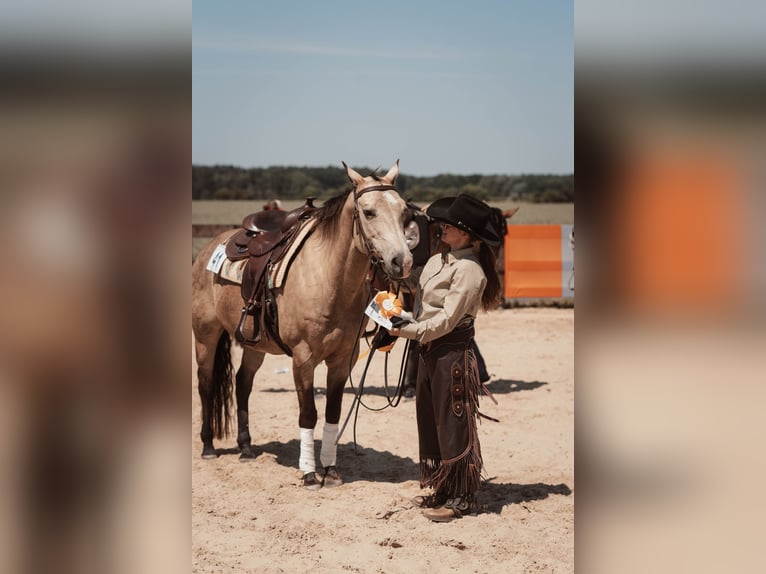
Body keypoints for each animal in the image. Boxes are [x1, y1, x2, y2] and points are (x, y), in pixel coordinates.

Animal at [191, 161, 413, 488]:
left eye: (403, 212)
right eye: (369, 212)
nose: (403, 261)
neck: (329, 278)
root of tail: (208, 249)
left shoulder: (342, 360)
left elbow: (333, 411)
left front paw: (330, 470)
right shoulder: (303, 358)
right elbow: (308, 413)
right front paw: (309, 472)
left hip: (254, 343)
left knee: (242, 383)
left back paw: (246, 447)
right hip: (205, 335)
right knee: (206, 384)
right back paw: (208, 446)